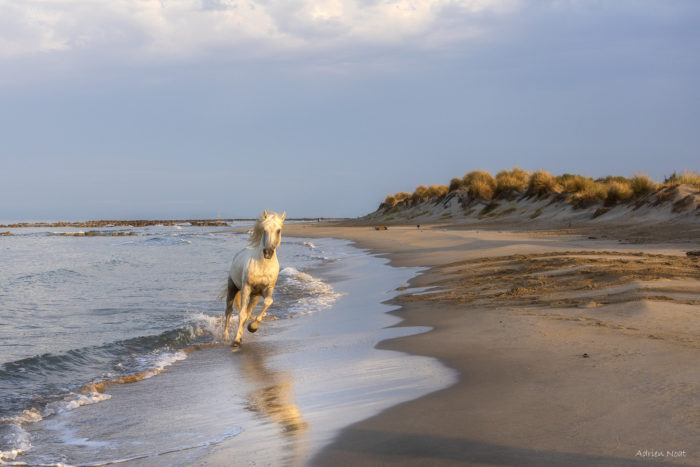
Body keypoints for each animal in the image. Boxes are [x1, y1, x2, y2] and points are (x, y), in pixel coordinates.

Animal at [223, 210, 286, 347]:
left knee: (248, 312)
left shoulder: (267, 289)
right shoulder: (246, 287)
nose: (268, 252)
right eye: (264, 229)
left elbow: (268, 302)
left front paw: (252, 327)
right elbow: (242, 314)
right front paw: (236, 340)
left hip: (255, 296)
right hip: (232, 288)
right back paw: (226, 337)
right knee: (229, 311)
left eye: (278, 230)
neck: (263, 266)